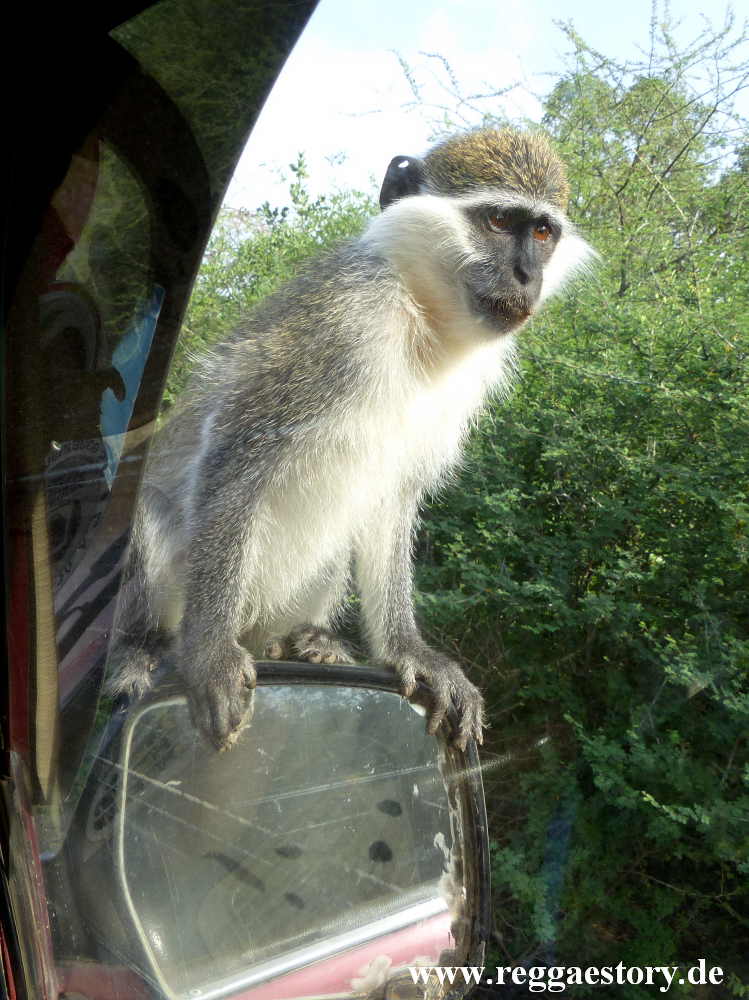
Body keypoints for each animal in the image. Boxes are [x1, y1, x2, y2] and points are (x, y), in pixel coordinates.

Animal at [107, 127, 594, 752]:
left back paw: (310, 639)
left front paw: (409, 650)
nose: (526, 277)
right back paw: (142, 647)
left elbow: (395, 497)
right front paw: (210, 652)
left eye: (542, 233)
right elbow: (238, 445)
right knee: (151, 514)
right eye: (499, 221)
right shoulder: (343, 320)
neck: (422, 316)